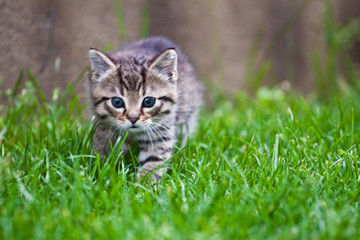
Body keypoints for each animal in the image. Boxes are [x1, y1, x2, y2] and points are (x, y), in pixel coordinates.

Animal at [86, 35, 202, 182]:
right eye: (117, 102)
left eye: (148, 101)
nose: (133, 118)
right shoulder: (101, 126)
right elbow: (101, 152)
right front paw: (100, 174)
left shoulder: (161, 131)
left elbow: (154, 162)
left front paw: (143, 185)